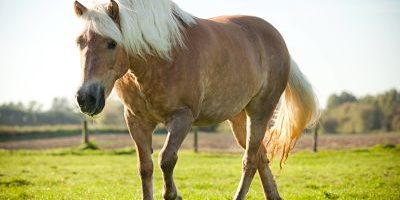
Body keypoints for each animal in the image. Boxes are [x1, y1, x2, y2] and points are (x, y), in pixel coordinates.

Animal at [74, 0, 318, 199]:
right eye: (80, 42)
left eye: (111, 43)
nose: (86, 98)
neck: (162, 56)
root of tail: (276, 38)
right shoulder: (136, 120)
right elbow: (145, 167)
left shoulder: (182, 118)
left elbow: (166, 159)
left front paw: (173, 195)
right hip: (238, 118)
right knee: (260, 156)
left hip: (260, 112)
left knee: (249, 161)